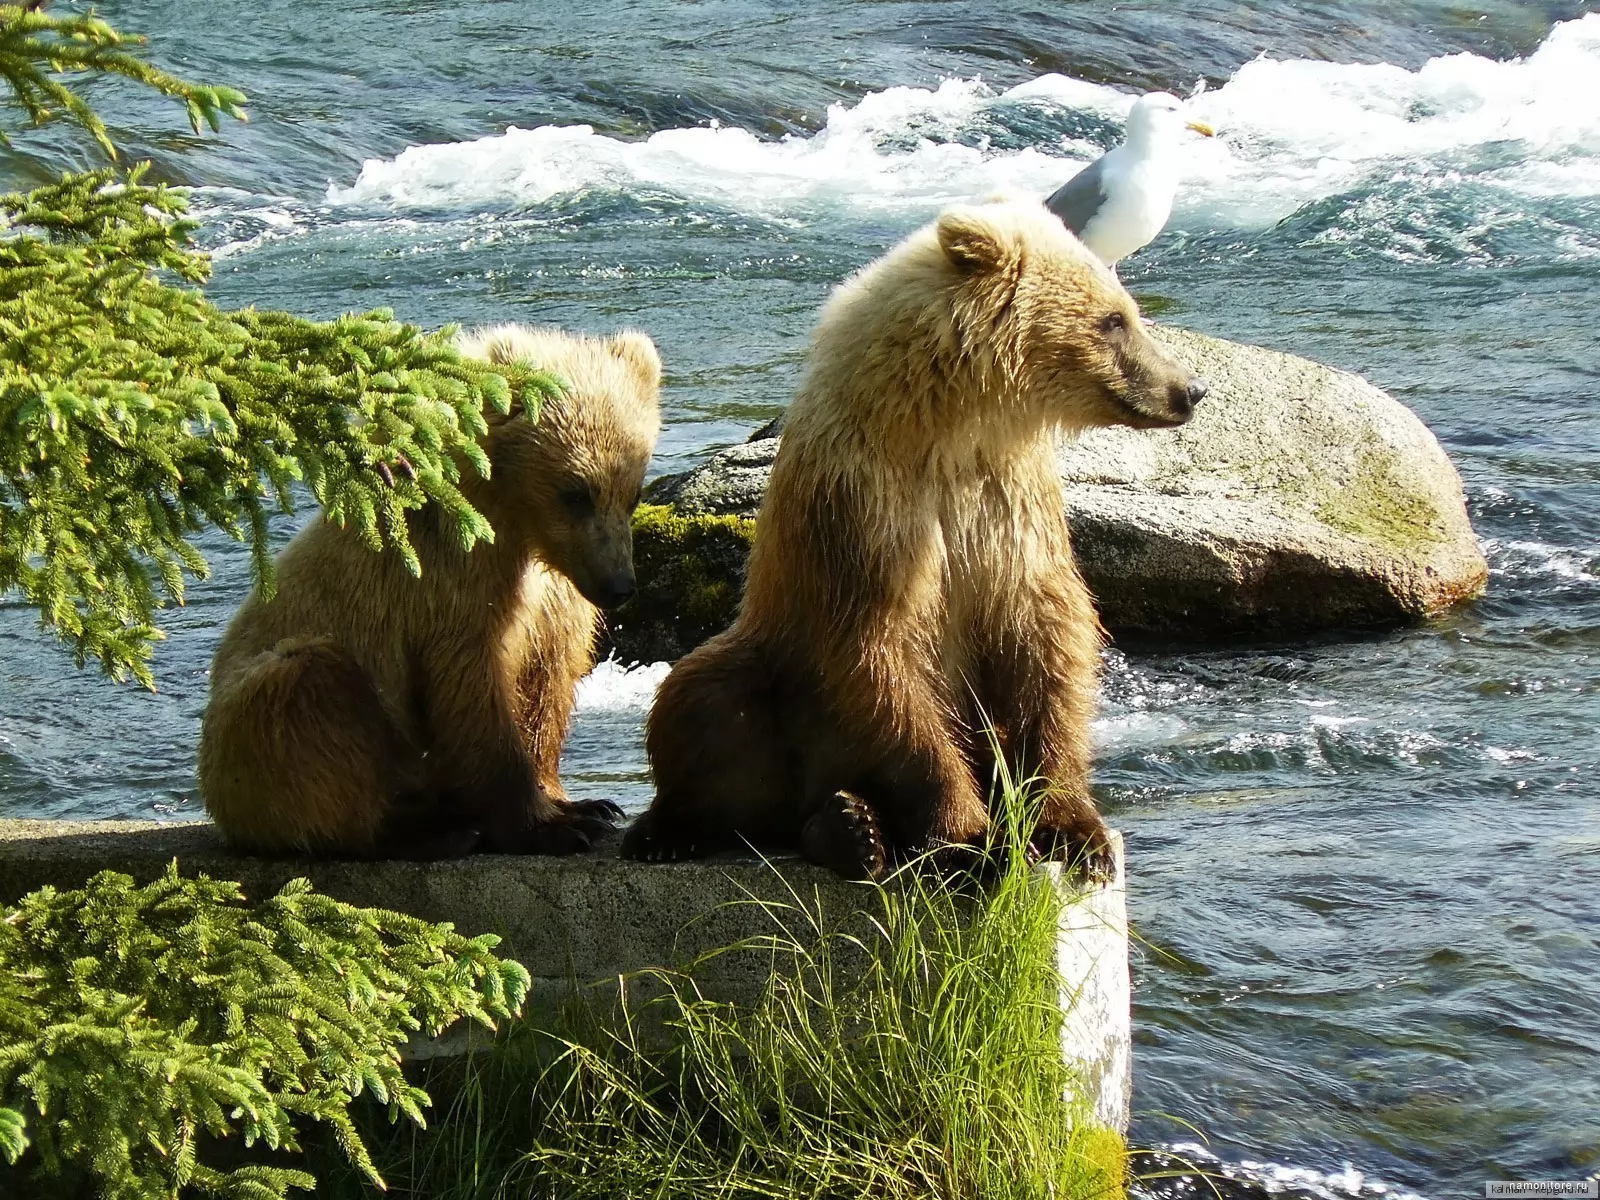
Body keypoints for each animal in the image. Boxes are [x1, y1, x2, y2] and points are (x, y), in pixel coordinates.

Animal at [201, 324, 662, 857]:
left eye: (633, 492)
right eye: (575, 493)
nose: (619, 585)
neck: (514, 521)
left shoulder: (552, 598)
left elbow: (547, 679)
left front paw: (581, 804)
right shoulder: (449, 579)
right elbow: (471, 687)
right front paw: (549, 825)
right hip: (253, 729)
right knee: (312, 693)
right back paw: (425, 829)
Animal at [620, 200, 1203, 883]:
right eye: (1114, 320)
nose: (1189, 389)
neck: (951, 430)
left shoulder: (1008, 507)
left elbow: (1046, 636)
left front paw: (1072, 830)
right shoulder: (867, 508)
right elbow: (880, 651)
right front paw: (969, 841)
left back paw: (846, 826)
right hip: (776, 667)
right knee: (702, 703)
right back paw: (687, 829)